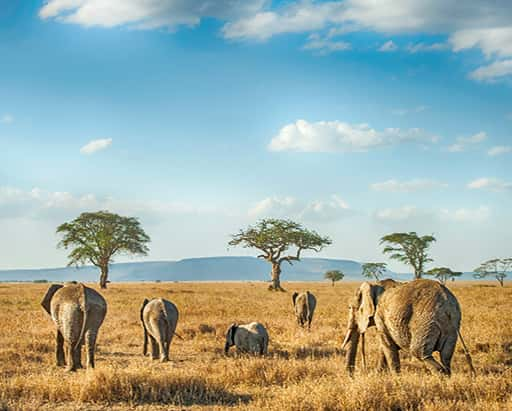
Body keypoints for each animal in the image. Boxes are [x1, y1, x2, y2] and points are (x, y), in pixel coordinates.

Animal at [342, 280, 474, 376]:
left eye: (350, 308)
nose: (351, 376)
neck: (374, 285)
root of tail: (448, 306)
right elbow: (384, 347)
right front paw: (379, 375)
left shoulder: (380, 315)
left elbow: (387, 346)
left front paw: (396, 378)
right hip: (451, 326)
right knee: (445, 356)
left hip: (425, 321)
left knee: (420, 352)